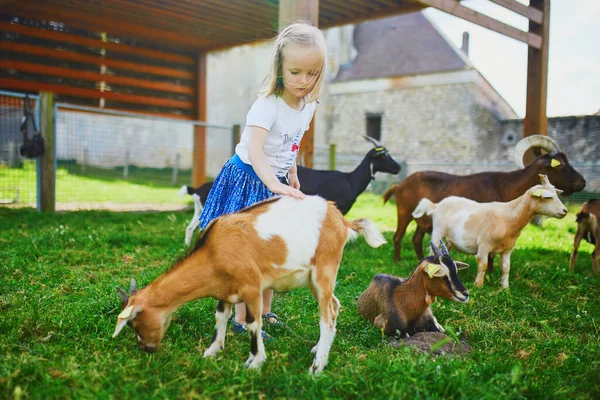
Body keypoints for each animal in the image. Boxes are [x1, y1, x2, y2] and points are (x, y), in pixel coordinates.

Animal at [180, 137, 400, 244]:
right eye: (383, 156)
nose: (398, 168)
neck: (350, 180)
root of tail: (198, 189)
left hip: (199, 210)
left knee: (191, 227)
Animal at [412, 174, 568, 288]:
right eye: (548, 197)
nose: (565, 211)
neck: (508, 217)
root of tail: (436, 205)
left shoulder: (508, 249)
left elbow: (506, 267)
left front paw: (505, 288)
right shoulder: (484, 245)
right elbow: (483, 265)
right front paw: (478, 285)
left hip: (449, 240)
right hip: (437, 231)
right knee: (432, 252)